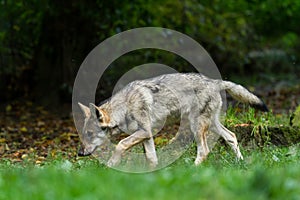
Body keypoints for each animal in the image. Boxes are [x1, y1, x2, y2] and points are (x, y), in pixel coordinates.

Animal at [77, 73, 268, 167]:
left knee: (204, 151)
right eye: (84, 134)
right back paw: (241, 163)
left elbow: (120, 144)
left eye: (90, 134)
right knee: (232, 136)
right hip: (211, 125)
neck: (124, 107)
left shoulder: (144, 131)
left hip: (196, 127)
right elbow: (152, 159)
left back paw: (192, 171)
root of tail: (214, 81)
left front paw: (111, 164)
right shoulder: (148, 136)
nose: (79, 153)